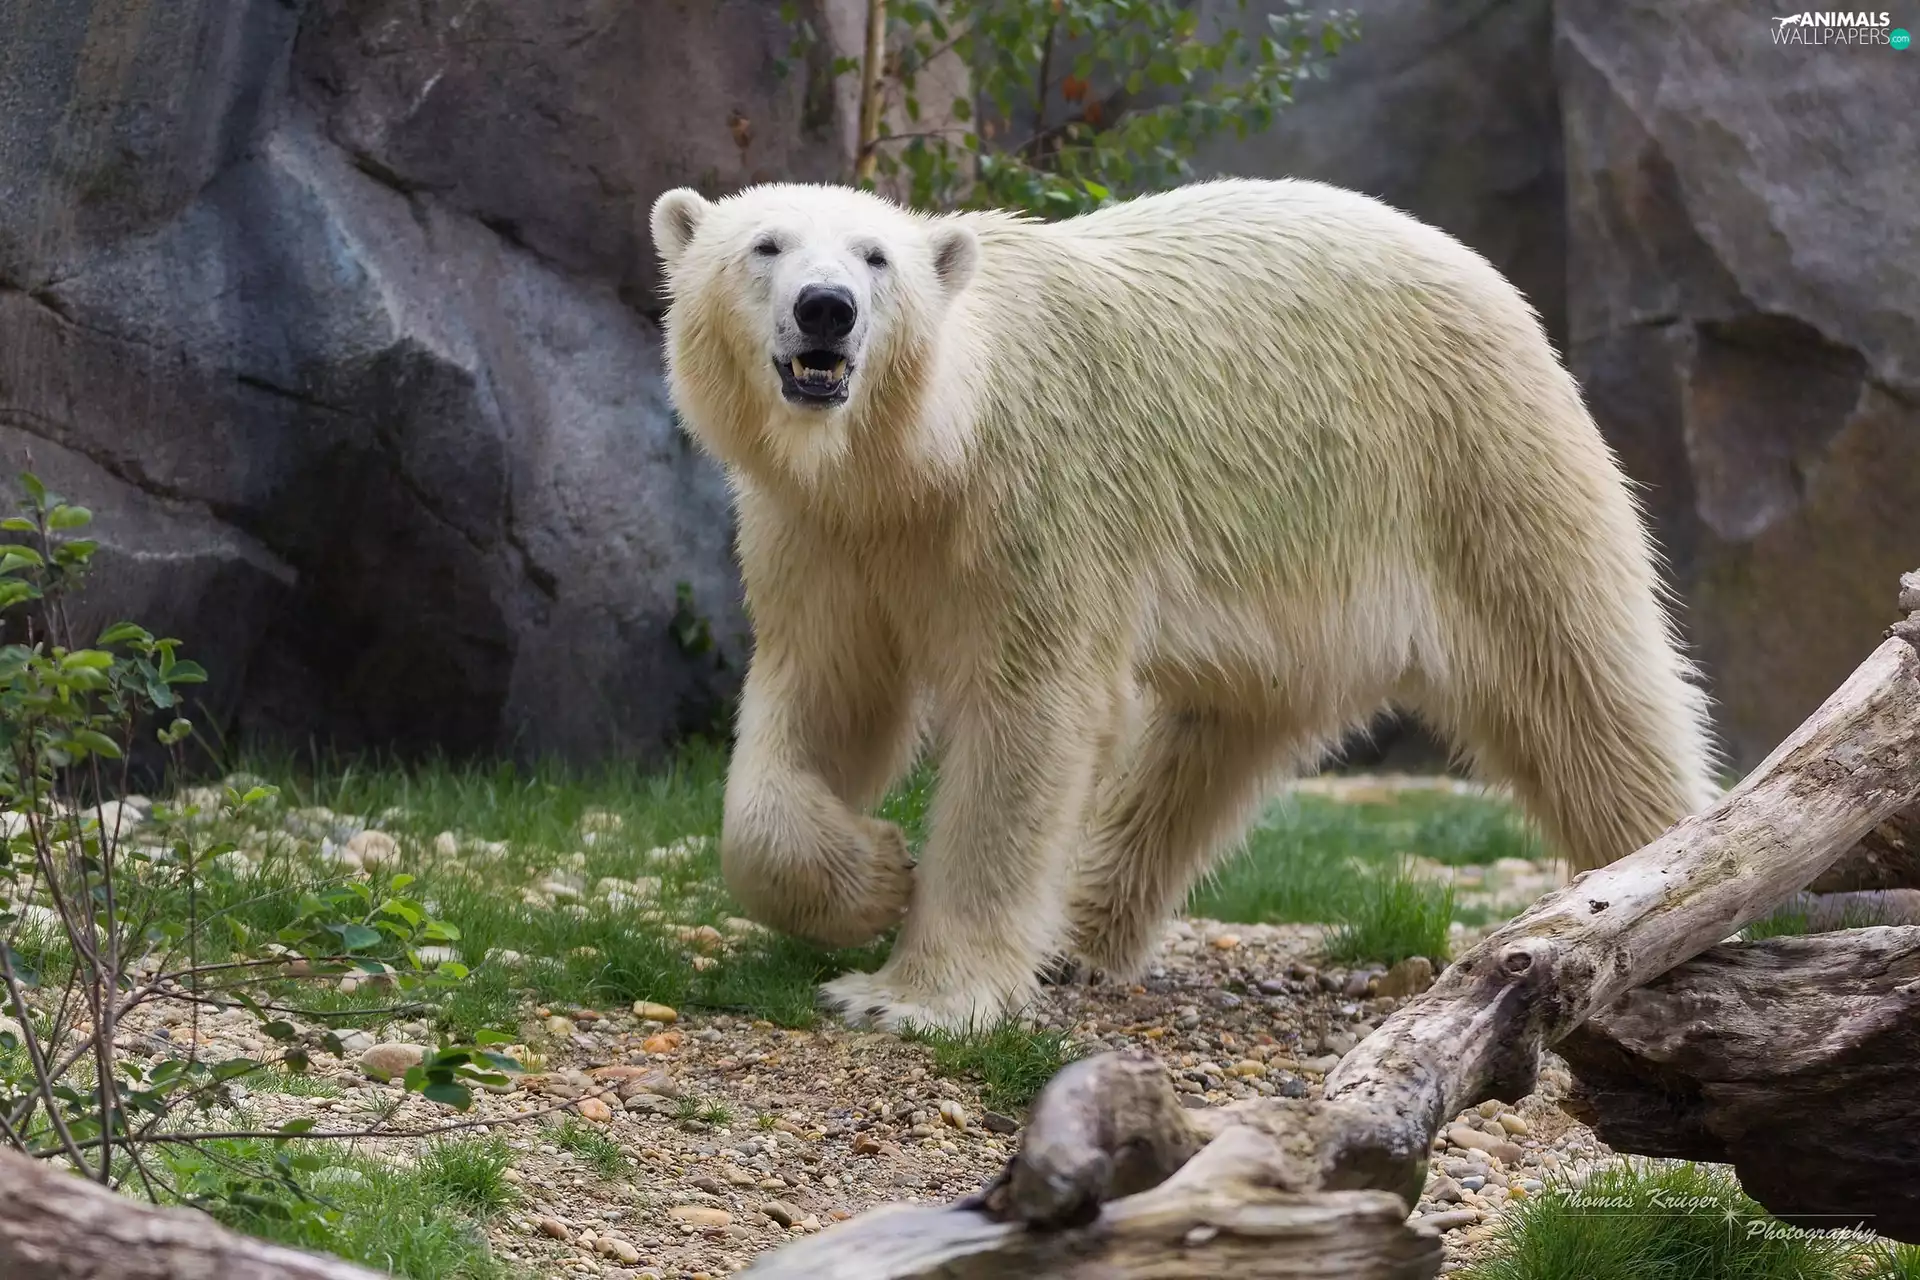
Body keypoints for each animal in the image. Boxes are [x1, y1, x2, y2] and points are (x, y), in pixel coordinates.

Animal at [648, 178, 1719, 1033]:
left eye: (877, 257)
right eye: (766, 245)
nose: (826, 310)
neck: (918, 458)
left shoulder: (1032, 502)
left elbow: (1029, 714)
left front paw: (909, 995)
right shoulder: (820, 532)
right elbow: (826, 696)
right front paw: (872, 876)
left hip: (1475, 465)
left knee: (1581, 682)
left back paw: (1668, 893)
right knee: (1212, 736)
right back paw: (1078, 934)